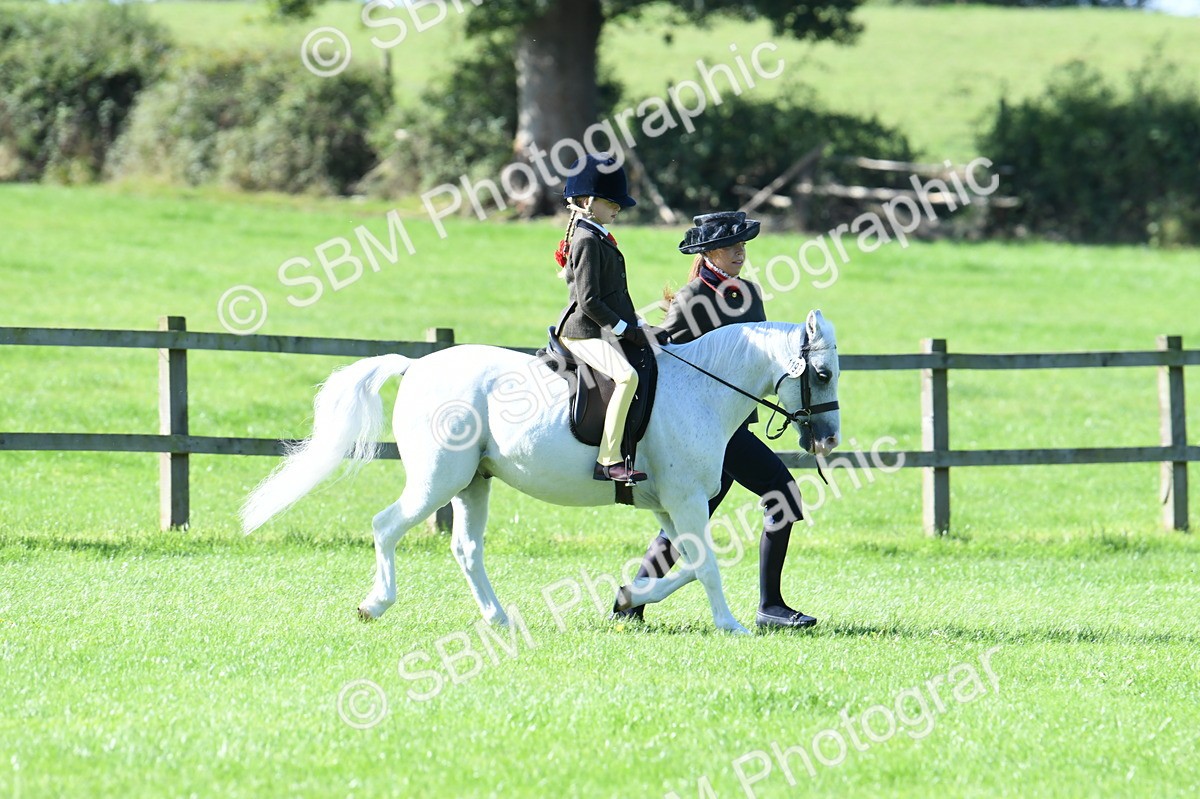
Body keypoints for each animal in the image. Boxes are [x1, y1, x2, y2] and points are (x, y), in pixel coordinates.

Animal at [241, 310, 841, 634]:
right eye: (823, 373)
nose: (829, 439)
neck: (703, 386)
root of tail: (416, 367)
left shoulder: (672, 506)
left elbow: (691, 565)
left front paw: (629, 597)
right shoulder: (688, 501)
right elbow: (708, 566)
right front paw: (729, 623)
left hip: (473, 483)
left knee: (466, 548)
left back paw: (498, 619)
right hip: (438, 480)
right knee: (386, 526)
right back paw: (375, 604)